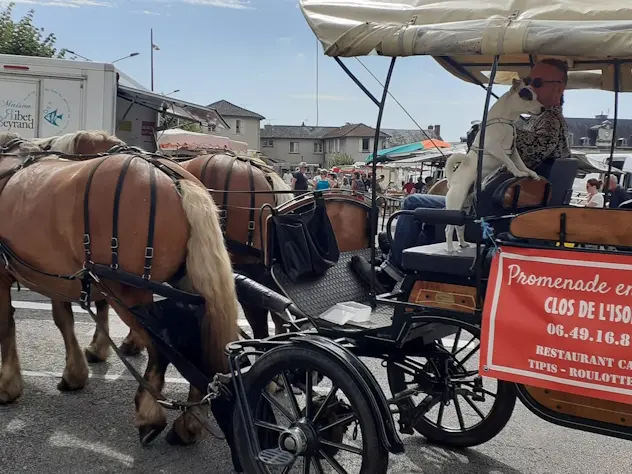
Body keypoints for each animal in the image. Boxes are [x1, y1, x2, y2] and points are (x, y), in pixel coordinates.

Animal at [1, 131, 238, 446]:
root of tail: (175, 179)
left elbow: (7, 324)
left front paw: (8, 386)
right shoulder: (57, 276)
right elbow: (64, 319)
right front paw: (77, 370)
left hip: (128, 292)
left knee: (162, 349)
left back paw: (150, 415)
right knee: (195, 346)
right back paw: (187, 424)